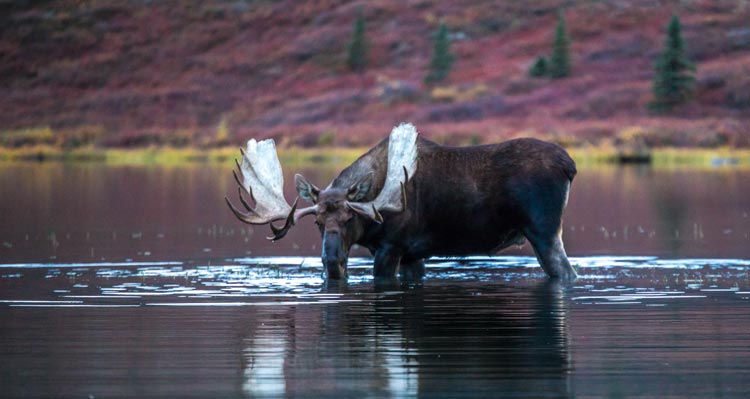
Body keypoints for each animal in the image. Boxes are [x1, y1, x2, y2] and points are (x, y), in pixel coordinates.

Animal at [226, 123, 580, 282]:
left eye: (349, 219)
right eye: (317, 222)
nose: (332, 261)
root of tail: (570, 165)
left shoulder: (391, 246)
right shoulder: (412, 254)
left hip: (544, 231)